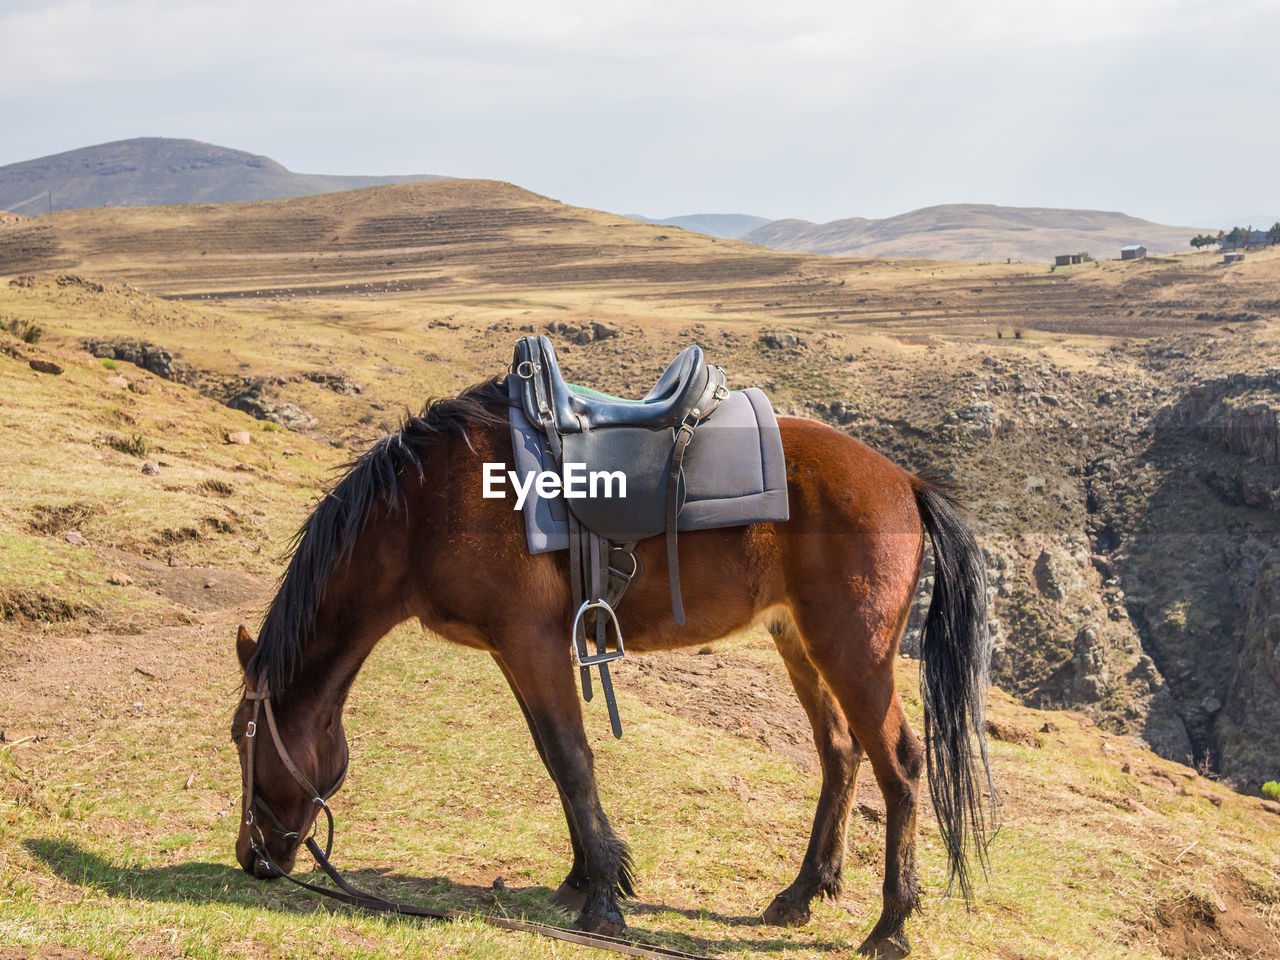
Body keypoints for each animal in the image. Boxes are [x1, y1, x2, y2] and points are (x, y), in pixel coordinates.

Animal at [227, 373, 988, 957]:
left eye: (243, 739)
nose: (252, 858)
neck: (425, 507)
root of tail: (903, 479)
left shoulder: (530, 642)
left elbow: (571, 757)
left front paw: (603, 899)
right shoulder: (517, 651)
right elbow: (553, 756)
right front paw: (582, 877)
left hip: (853, 651)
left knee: (900, 764)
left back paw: (890, 926)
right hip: (799, 641)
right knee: (839, 753)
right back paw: (803, 892)